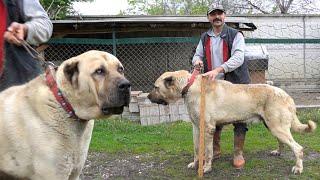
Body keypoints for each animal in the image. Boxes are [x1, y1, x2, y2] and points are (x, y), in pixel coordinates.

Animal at [0, 50, 131, 180]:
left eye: (120, 69)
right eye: (99, 71)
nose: (126, 85)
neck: (63, 103)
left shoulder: (74, 172)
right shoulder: (53, 174)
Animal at [148, 70, 318, 174]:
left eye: (156, 87)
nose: (148, 97)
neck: (189, 87)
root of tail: (288, 96)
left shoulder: (208, 128)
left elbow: (208, 152)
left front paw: (206, 168)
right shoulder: (196, 128)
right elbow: (197, 149)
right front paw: (195, 164)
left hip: (277, 127)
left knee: (298, 148)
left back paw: (298, 168)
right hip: (272, 126)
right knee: (283, 142)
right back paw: (278, 151)